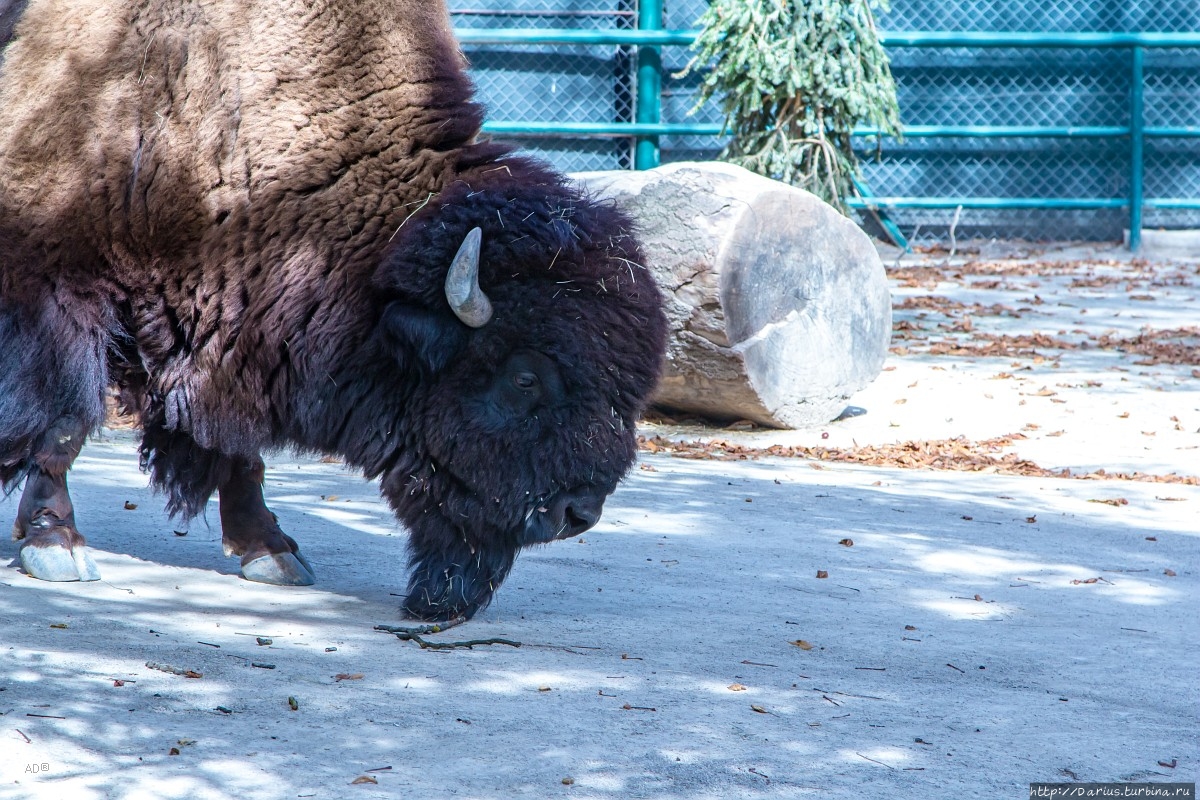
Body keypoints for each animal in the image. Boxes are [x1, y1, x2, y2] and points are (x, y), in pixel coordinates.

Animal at [0, 0, 667, 618]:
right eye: (523, 378)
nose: (579, 512)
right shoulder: (54, 282)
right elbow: (66, 418)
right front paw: (56, 546)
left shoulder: (231, 334)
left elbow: (240, 449)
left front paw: (270, 552)